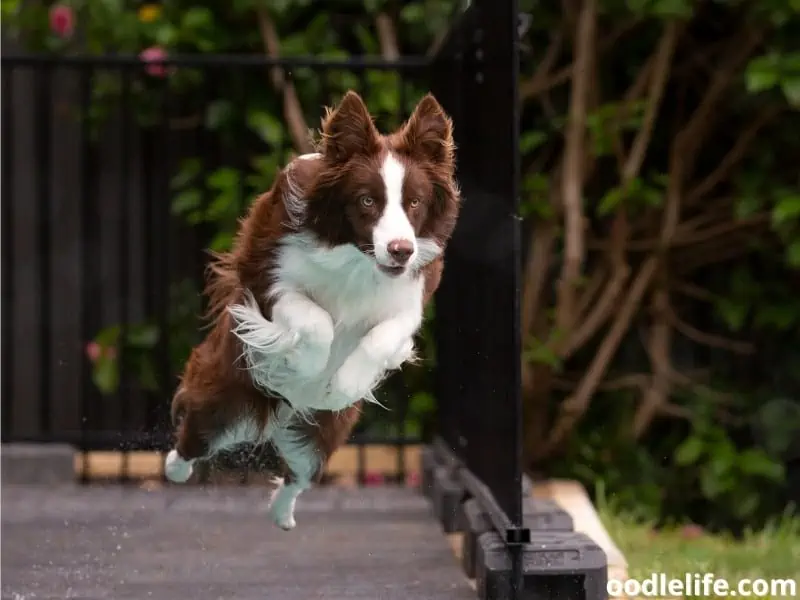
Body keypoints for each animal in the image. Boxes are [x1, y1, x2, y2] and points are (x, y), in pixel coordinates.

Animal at [166, 89, 460, 528]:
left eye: (414, 203)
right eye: (367, 201)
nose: (400, 250)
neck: (356, 257)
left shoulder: (411, 297)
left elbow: (383, 335)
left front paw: (342, 385)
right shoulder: (268, 276)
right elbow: (317, 320)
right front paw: (305, 365)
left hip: (324, 434)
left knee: (299, 473)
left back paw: (282, 514)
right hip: (226, 394)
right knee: (196, 433)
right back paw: (175, 468)